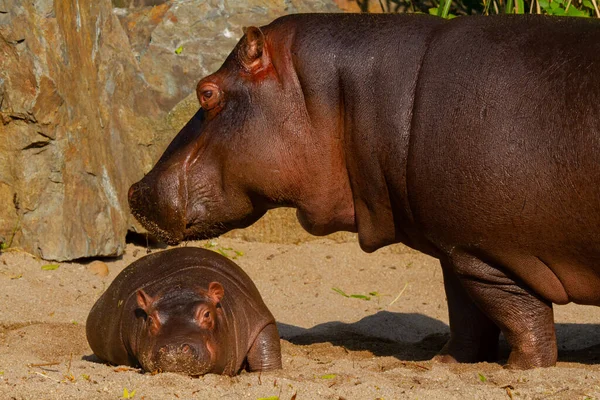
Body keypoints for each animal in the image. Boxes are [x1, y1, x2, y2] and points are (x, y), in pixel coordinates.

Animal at [85, 247, 282, 376]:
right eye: (150, 319)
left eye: (207, 314)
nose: (175, 349)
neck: (181, 286)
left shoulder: (256, 315)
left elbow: (265, 343)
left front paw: (269, 373)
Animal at [129, 12, 600, 368]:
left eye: (206, 91)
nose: (135, 189)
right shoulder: (457, 253)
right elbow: (468, 318)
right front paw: (445, 365)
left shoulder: (487, 255)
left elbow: (522, 321)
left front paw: (520, 369)